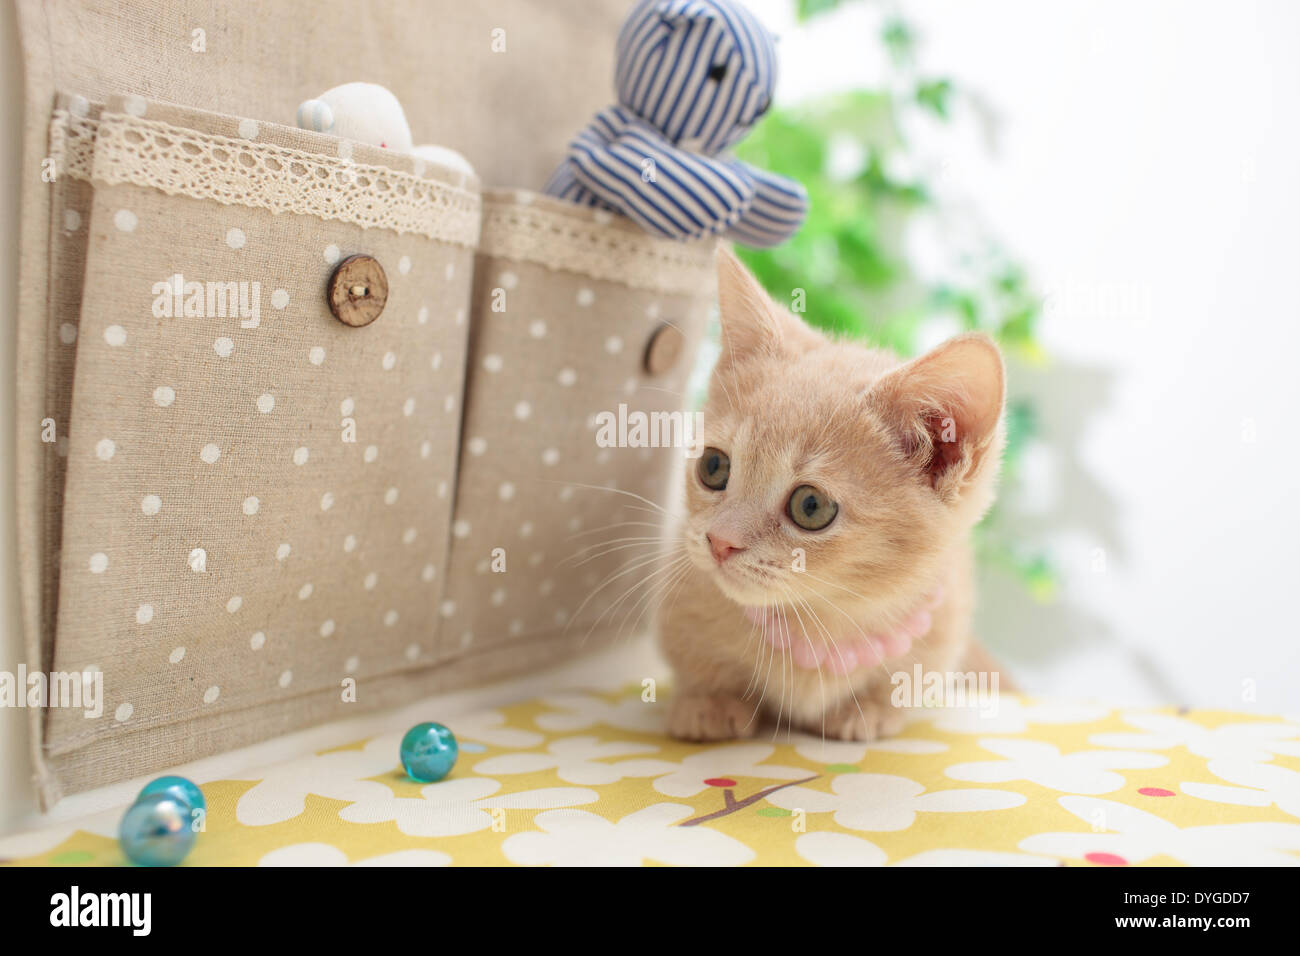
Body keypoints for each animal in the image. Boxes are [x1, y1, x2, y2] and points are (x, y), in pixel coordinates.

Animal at [660, 247, 1003, 738]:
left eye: (811, 506)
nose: (719, 541)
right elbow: (698, 659)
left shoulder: (943, 623)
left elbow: (903, 683)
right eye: (713, 466)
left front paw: (870, 710)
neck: (819, 619)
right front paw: (707, 702)